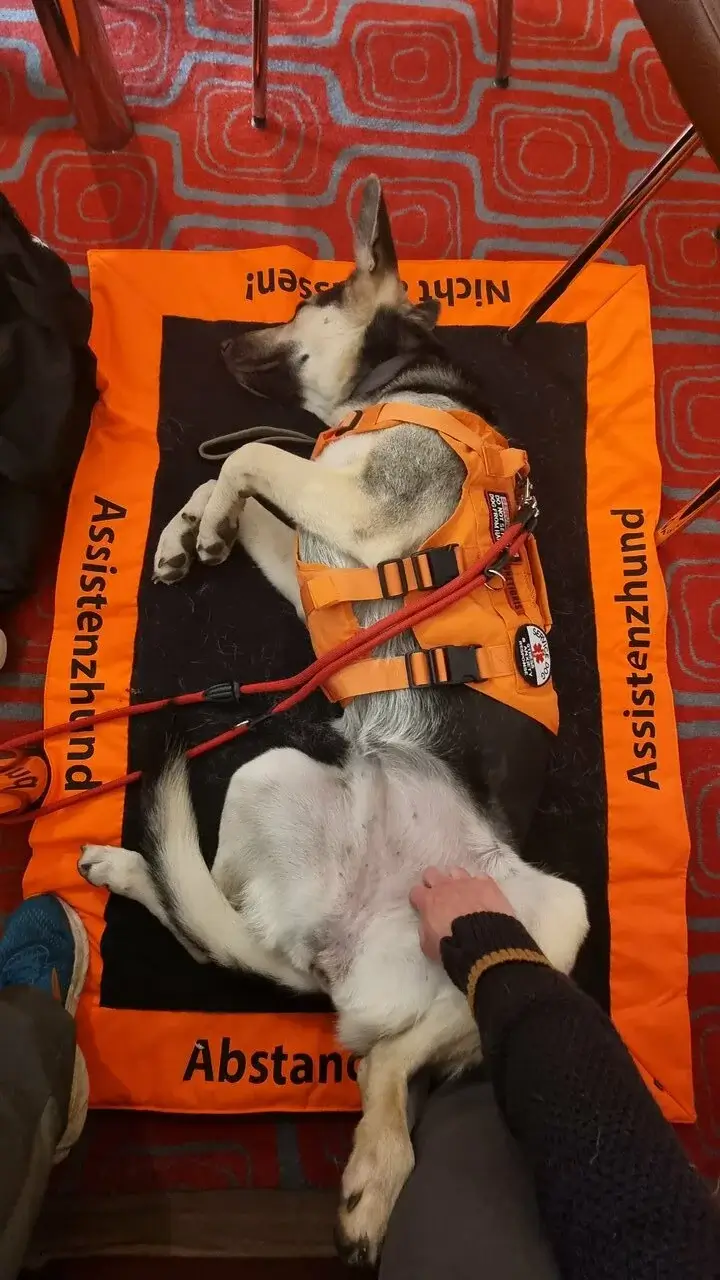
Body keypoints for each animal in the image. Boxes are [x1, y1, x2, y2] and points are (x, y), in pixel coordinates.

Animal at [78, 177, 589, 1266]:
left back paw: (376, 1169)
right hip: (382, 842)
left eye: (304, 294)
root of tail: (339, 950)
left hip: (522, 909)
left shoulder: (356, 508)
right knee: (251, 958)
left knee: (357, 1039)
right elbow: (235, 482)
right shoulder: (318, 541)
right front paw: (190, 534)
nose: (225, 339)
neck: (404, 380)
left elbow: (249, 456)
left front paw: (204, 520)